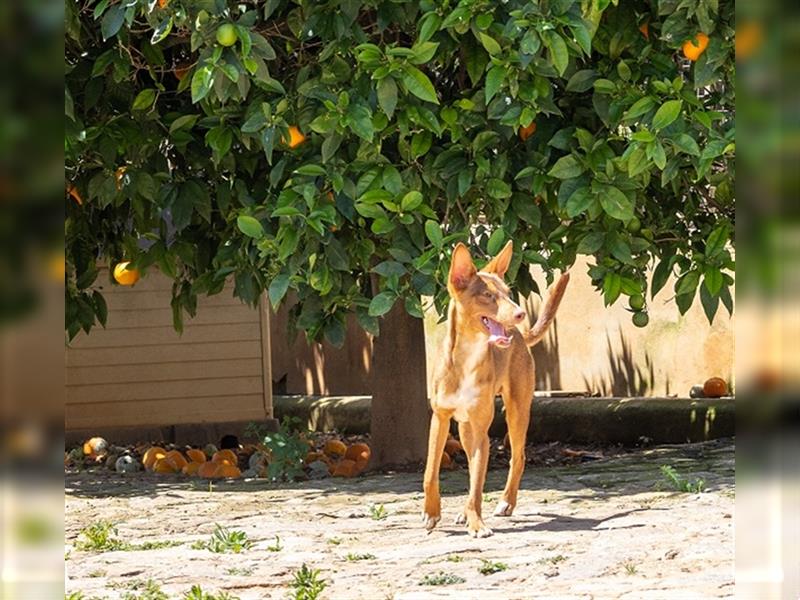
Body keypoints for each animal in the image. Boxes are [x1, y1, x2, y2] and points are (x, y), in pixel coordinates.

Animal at [422, 241, 572, 536]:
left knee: (518, 457)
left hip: (516, 411)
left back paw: (505, 502)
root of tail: (519, 334)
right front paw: (432, 513)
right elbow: (431, 472)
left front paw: (477, 523)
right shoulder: (440, 418)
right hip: (465, 429)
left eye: (508, 293)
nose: (520, 313)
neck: (467, 358)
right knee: (472, 467)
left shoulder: (482, 429)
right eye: (487, 295)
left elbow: (477, 484)